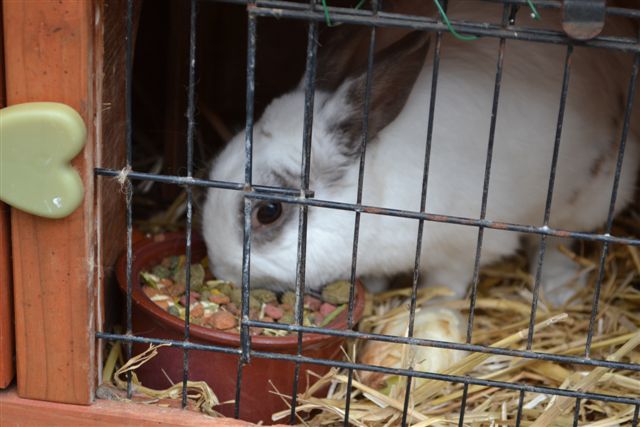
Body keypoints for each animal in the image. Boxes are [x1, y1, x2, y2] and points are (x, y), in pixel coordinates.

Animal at [202, 2, 639, 306]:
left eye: (268, 212)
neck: (375, 194)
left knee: (555, 242)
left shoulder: (465, 246)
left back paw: (560, 286)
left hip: (588, 199)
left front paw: (433, 308)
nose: (222, 268)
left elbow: (447, 284)